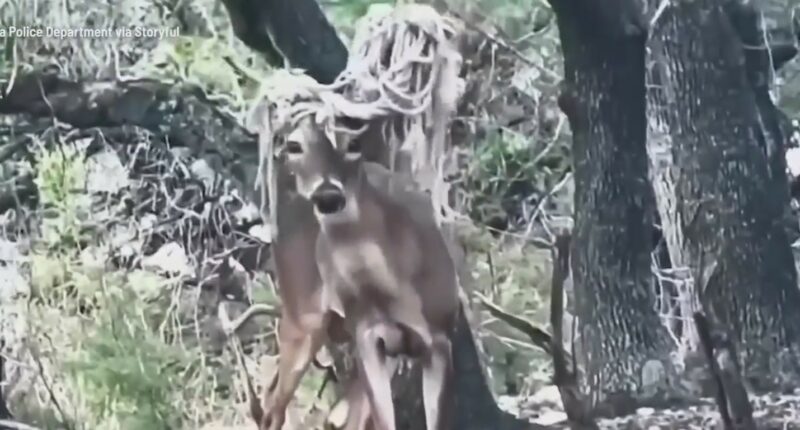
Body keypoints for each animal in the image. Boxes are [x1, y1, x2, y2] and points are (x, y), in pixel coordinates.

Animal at [275, 113, 461, 430]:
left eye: (353, 143)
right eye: (294, 145)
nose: (327, 195)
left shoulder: (439, 339)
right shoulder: (367, 336)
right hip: (303, 316)